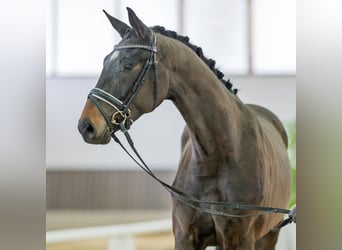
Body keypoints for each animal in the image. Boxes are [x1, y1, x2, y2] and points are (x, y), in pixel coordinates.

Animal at [78, 7, 292, 248]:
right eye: (105, 62)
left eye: (128, 65)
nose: (86, 126)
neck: (219, 156)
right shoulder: (185, 236)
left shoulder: (241, 240)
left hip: (269, 235)